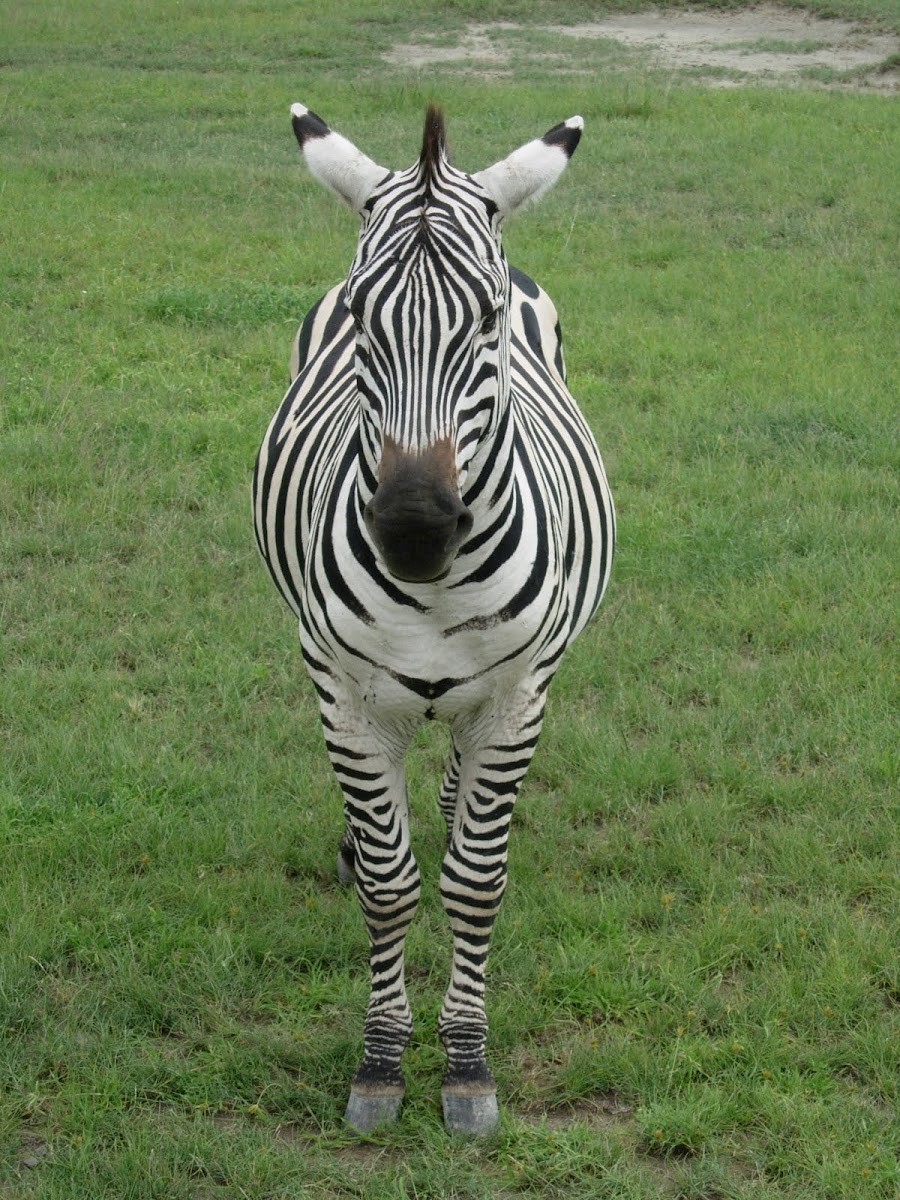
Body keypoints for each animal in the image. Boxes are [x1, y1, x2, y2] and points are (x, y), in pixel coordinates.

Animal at [256, 103, 619, 1132]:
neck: (433, 588)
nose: (414, 530)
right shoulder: (343, 699)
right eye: (360, 318)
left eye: (487, 320)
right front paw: (381, 1061)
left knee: (461, 797)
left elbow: (472, 883)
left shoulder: (515, 698)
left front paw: (466, 1063)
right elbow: (390, 884)